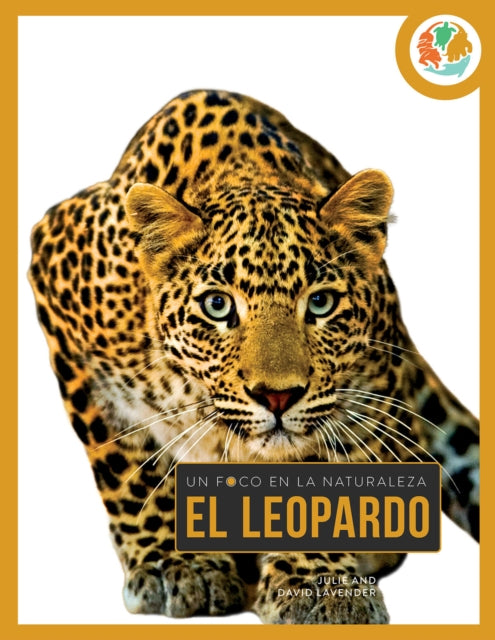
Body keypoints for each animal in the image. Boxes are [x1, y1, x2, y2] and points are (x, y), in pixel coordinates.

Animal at [29, 89, 479, 624]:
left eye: (320, 303)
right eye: (217, 305)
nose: (278, 397)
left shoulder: (366, 389)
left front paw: (318, 585)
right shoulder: (56, 275)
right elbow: (129, 467)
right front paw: (175, 565)